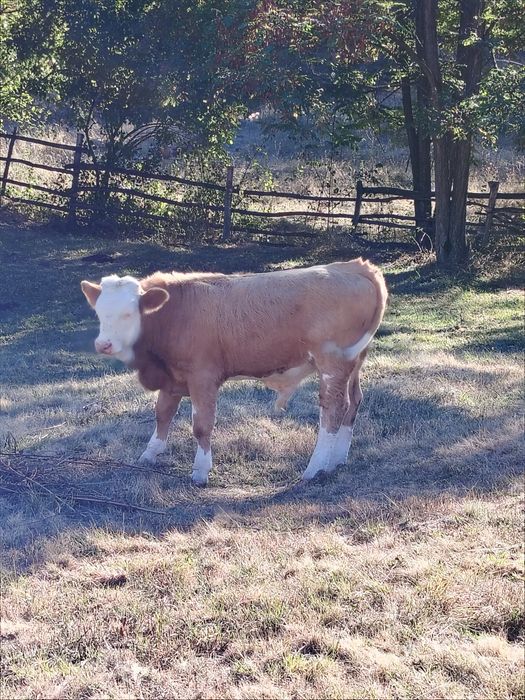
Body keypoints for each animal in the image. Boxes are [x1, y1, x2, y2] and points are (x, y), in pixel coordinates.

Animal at [81, 258, 387, 485]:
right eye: (99, 312)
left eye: (129, 314)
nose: (103, 344)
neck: (174, 313)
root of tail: (356, 266)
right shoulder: (173, 378)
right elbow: (162, 415)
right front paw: (149, 454)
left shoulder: (202, 377)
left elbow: (202, 425)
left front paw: (200, 471)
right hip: (354, 362)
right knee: (354, 402)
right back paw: (336, 461)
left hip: (332, 363)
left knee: (333, 408)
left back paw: (315, 468)